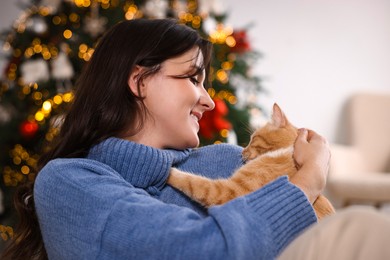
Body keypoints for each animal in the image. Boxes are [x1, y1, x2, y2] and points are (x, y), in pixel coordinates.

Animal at [168, 103, 336, 219]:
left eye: (252, 138)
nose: (242, 151)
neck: (287, 153)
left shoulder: (230, 192)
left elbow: (193, 182)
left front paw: (168, 170)